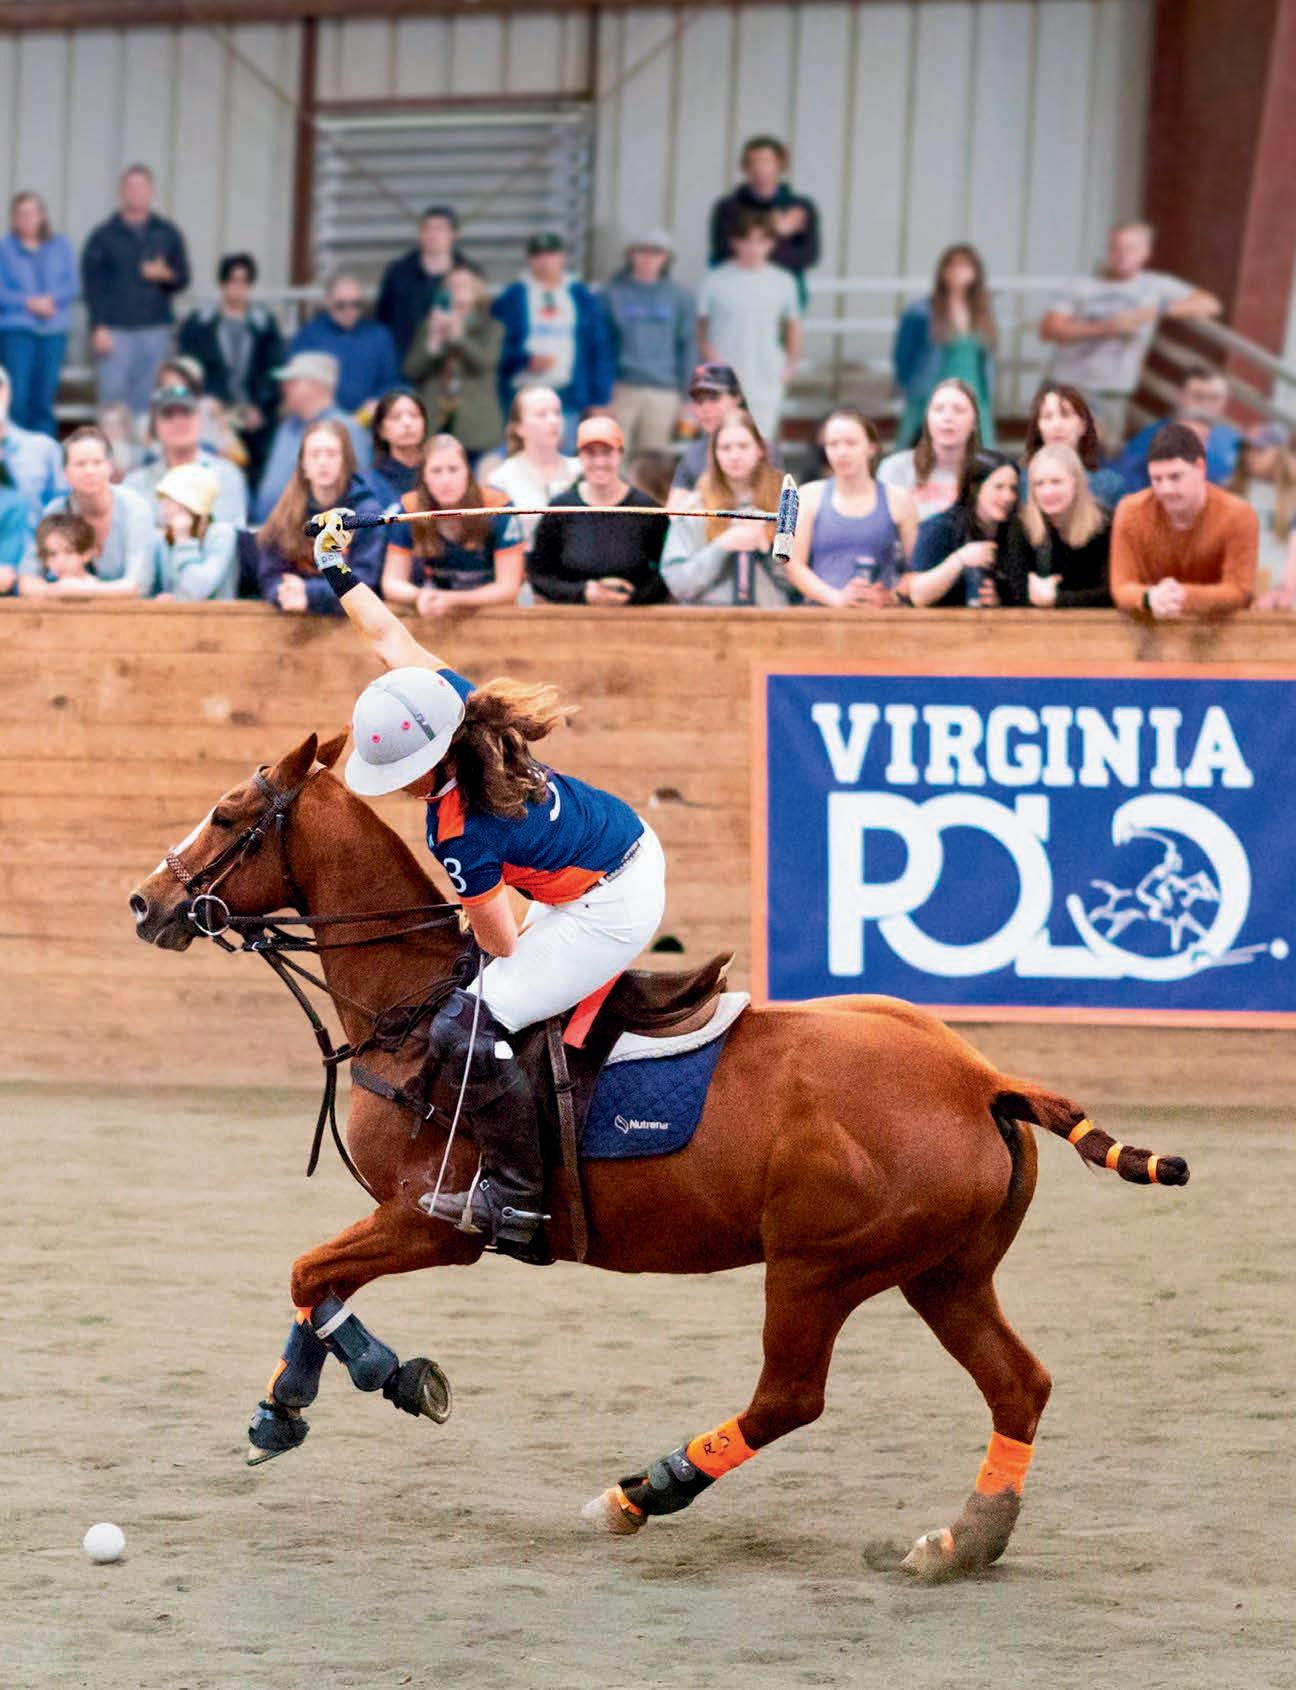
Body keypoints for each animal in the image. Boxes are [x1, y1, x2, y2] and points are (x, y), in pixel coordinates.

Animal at [129, 731, 1189, 1581]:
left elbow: (308, 1270)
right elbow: (316, 1278)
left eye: (229, 816)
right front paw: (307, 1400)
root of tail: (981, 1079)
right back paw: (964, 1540)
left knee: (790, 1397)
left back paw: (643, 1491)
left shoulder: (437, 1219)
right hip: (944, 1269)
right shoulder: (404, 1218)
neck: (410, 1006)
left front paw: (353, 1386)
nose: (146, 904)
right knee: (1020, 1384)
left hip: (819, 1267)